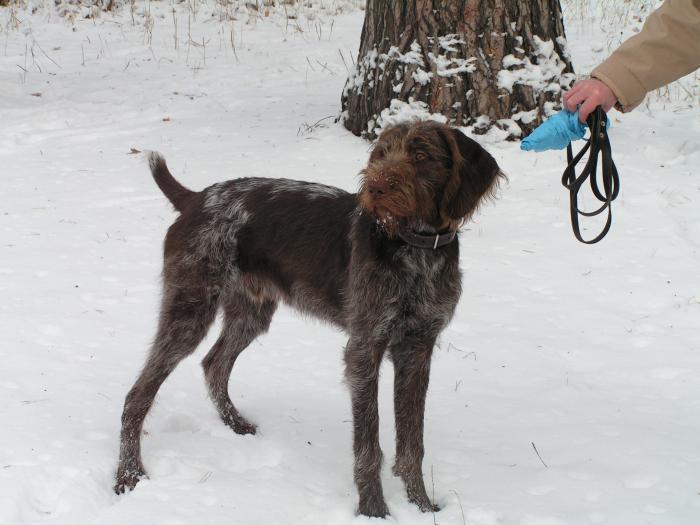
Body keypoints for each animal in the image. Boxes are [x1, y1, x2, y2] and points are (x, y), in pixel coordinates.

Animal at [117, 119, 506, 516]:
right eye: (382, 153)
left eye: (421, 155)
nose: (375, 187)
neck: (415, 248)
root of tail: (195, 198)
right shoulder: (365, 348)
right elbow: (369, 443)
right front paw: (373, 509)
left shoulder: (418, 348)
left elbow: (413, 443)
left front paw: (422, 506)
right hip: (189, 311)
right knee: (137, 395)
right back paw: (129, 476)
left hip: (251, 313)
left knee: (214, 364)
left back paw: (235, 425)